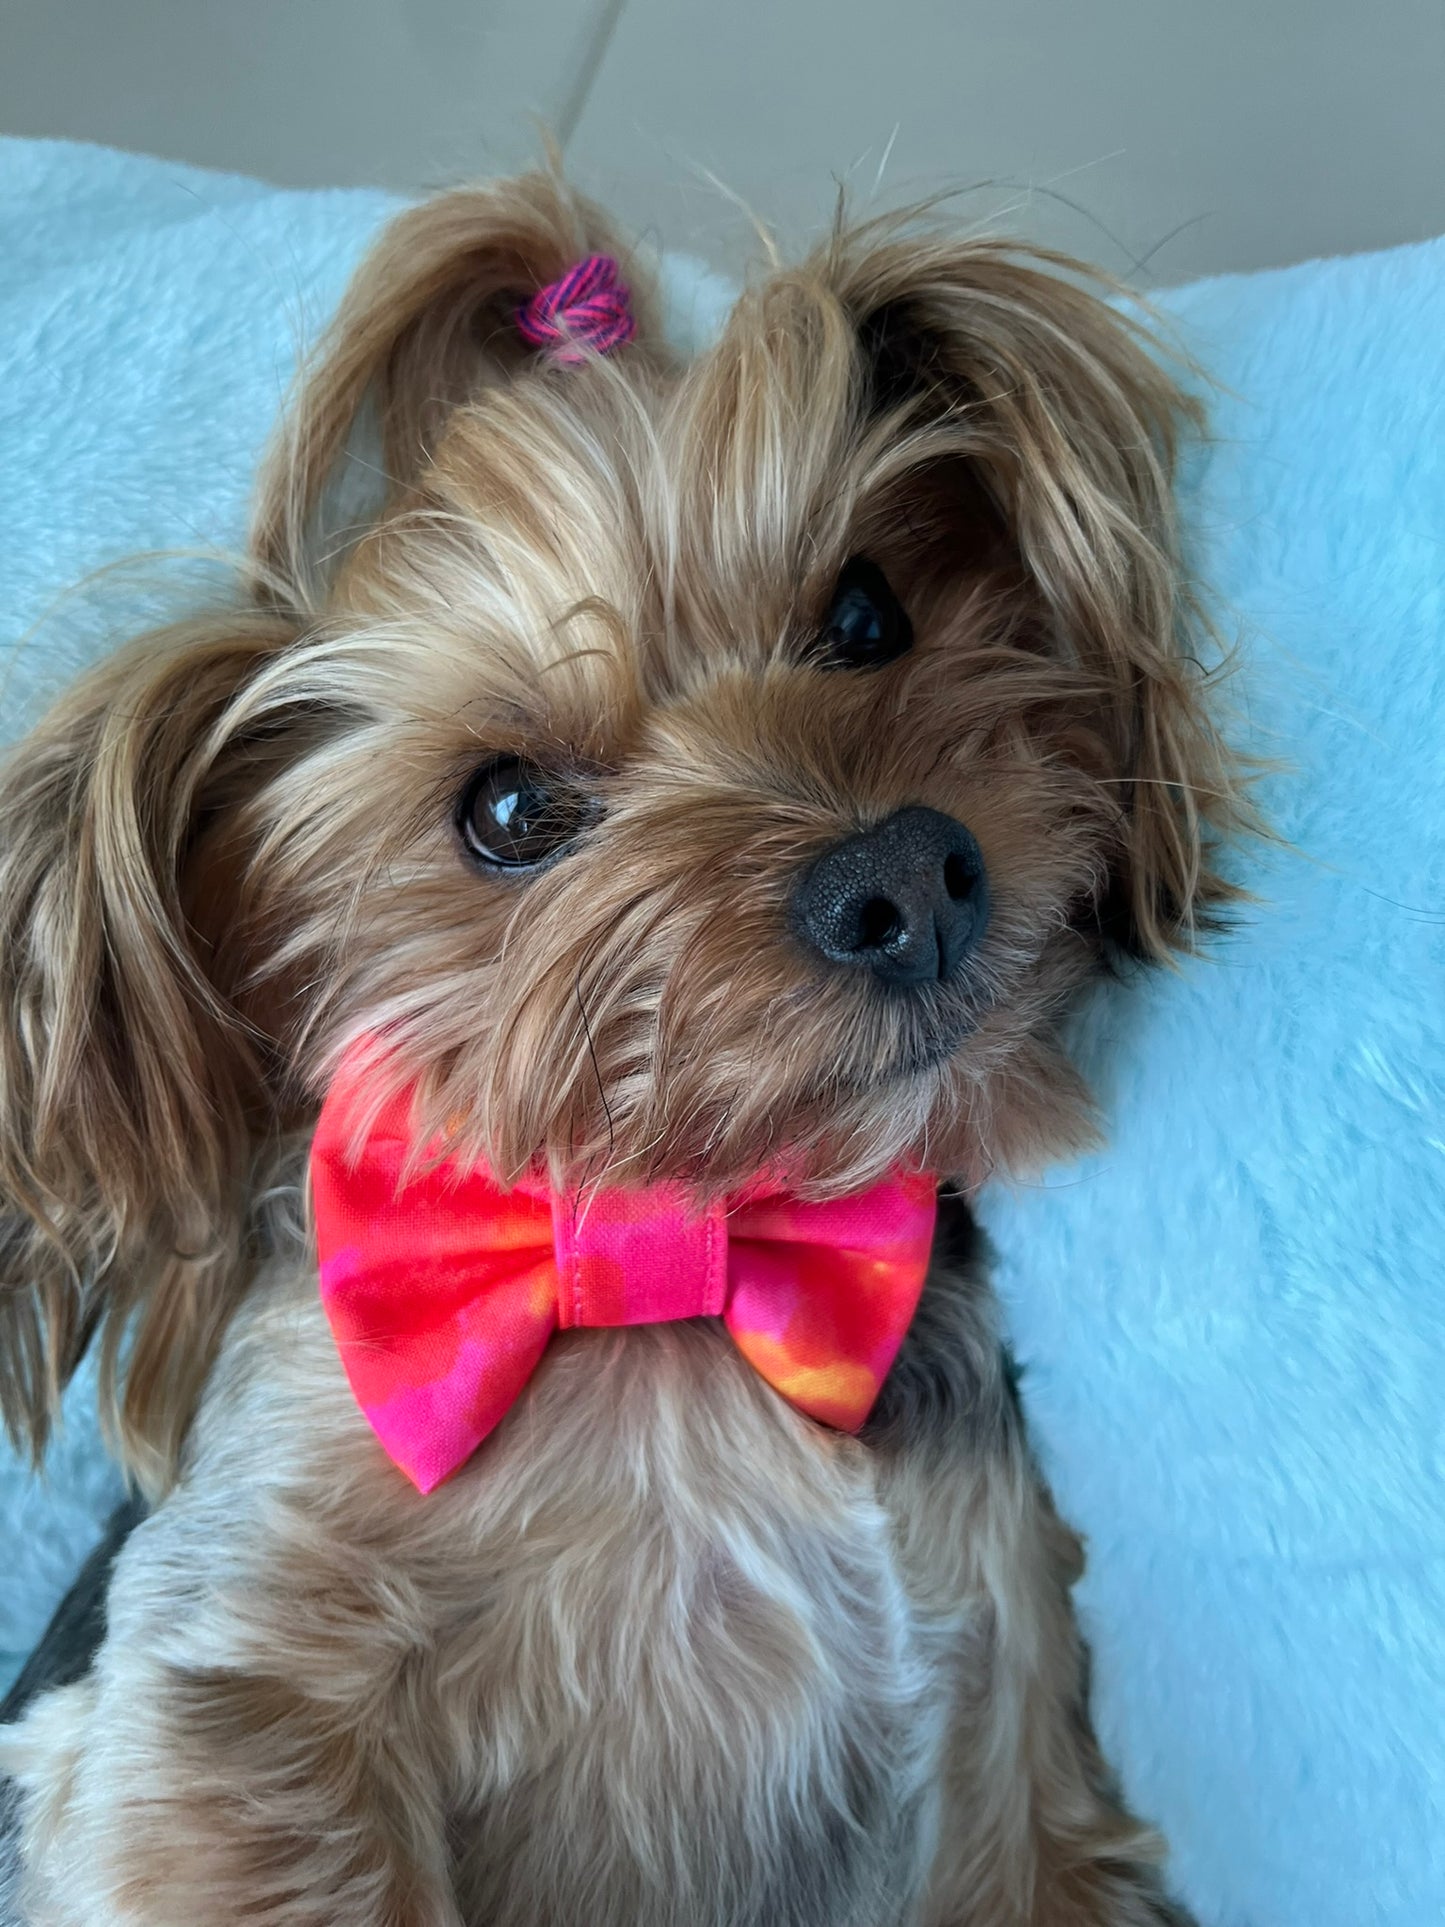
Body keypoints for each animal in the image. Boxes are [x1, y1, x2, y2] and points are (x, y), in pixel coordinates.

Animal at [0, 173, 1248, 1919]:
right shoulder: (225, 1685)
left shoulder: (999, 1683)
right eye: (509, 809)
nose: (904, 879)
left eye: (865, 611)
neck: (673, 1292)